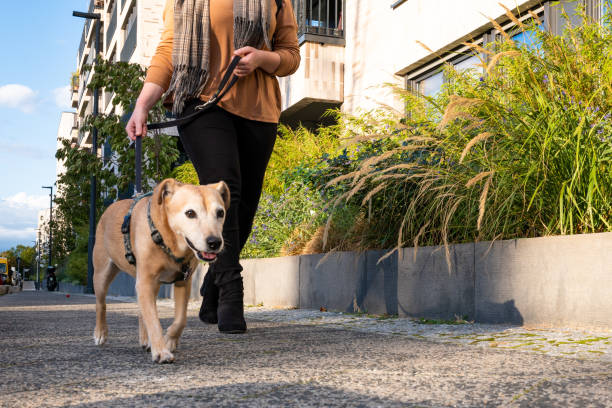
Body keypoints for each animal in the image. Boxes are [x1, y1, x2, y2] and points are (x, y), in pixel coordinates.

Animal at [93, 178, 230, 364]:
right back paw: (100, 333)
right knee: (101, 304)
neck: (167, 239)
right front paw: (161, 351)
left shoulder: (183, 282)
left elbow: (180, 319)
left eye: (220, 213)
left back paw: (145, 340)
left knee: (141, 310)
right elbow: (153, 320)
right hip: (102, 273)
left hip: (153, 284)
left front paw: (169, 340)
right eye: (190, 213)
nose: (214, 242)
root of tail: (110, 207)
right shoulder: (145, 282)